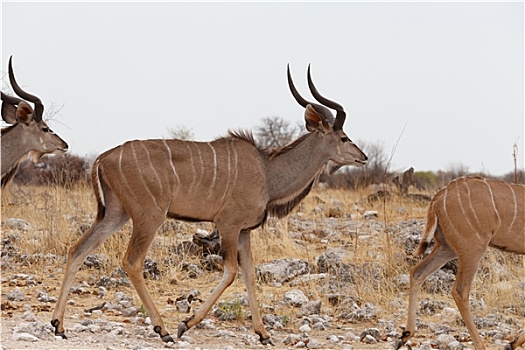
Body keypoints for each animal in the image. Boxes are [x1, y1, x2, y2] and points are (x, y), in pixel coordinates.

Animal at [51, 65, 366, 342]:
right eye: (343, 137)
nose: (362, 157)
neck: (267, 172)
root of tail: (102, 158)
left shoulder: (244, 231)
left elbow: (250, 274)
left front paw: (263, 334)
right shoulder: (227, 225)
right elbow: (231, 272)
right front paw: (185, 324)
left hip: (116, 215)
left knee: (77, 250)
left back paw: (59, 325)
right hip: (149, 216)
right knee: (132, 261)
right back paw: (163, 330)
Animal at [392, 178, 524, 350]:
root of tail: (438, 198)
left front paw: (512, 343)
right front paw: (512, 343)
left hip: (446, 248)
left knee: (417, 272)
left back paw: (405, 335)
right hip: (473, 249)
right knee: (460, 291)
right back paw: (480, 345)